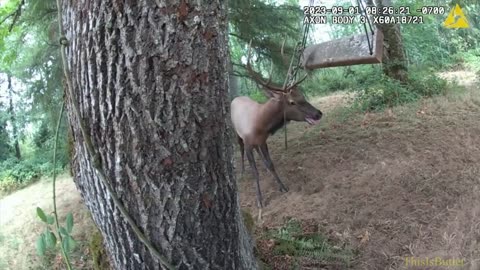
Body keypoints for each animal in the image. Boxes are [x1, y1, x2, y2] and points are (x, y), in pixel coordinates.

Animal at [230, 41, 322, 220]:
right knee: (240, 149)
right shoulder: (248, 141)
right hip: (236, 133)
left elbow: (271, 164)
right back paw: (242, 170)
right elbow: (255, 172)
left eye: (302, 95)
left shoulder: (263, 141)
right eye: (292, 102)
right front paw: (260, 201)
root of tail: (235, 98)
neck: (260, 125)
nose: (318, 113)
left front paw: (282, 186)